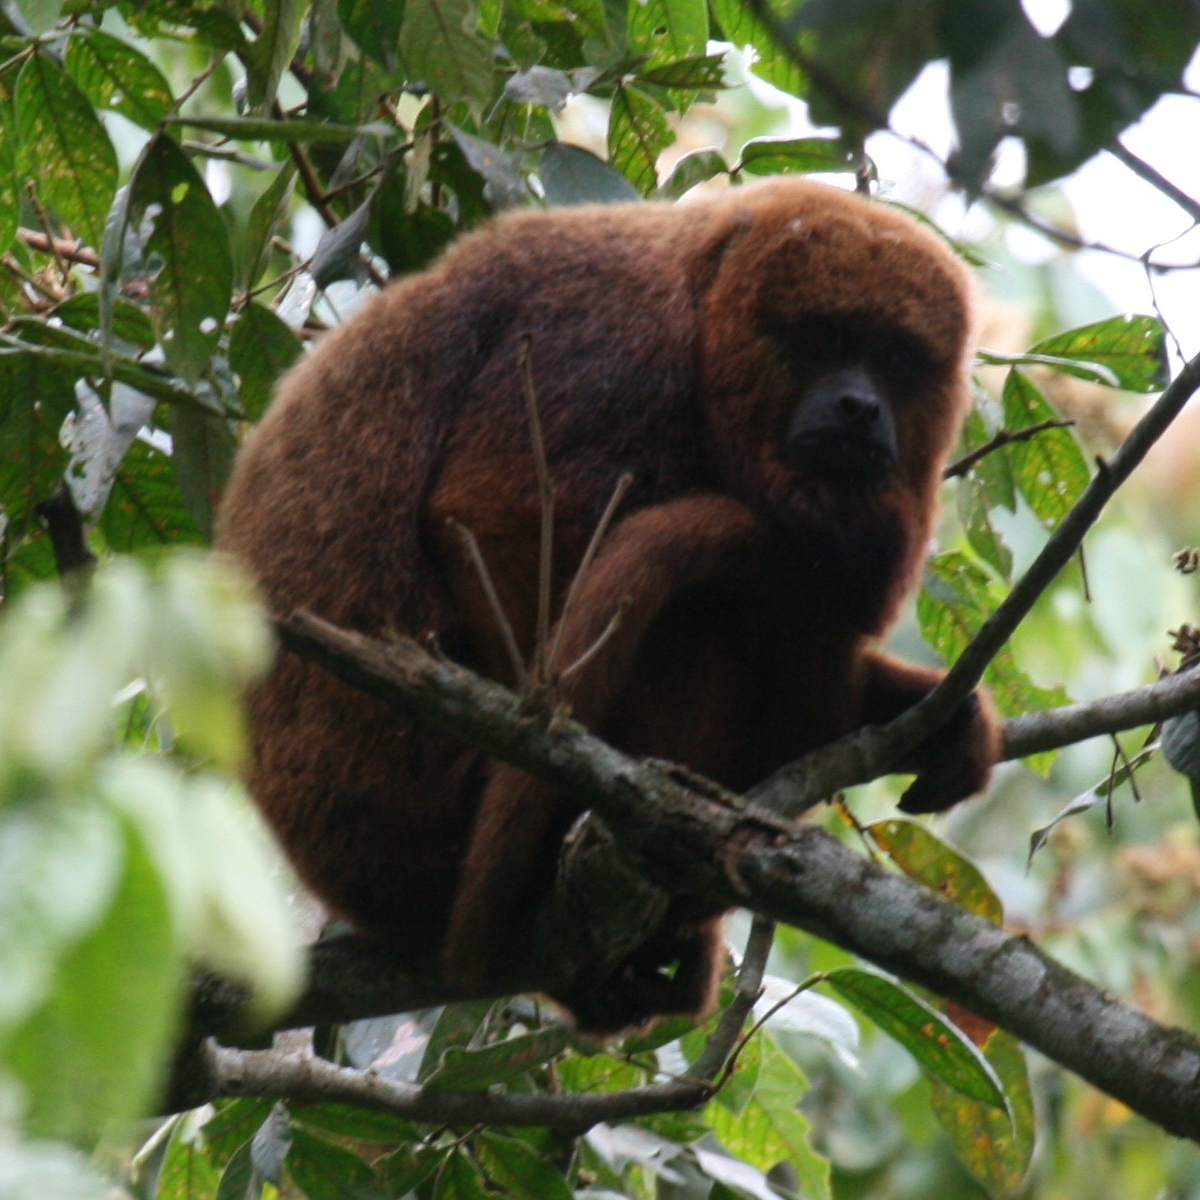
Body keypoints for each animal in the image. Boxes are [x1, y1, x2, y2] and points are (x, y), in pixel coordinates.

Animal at [218, 175, 1003, 1032]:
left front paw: (920, 711)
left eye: (894, 357)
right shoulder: (608, 341)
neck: (701, 313)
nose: (859, 405)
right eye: (819, 339)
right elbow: (501, 518)